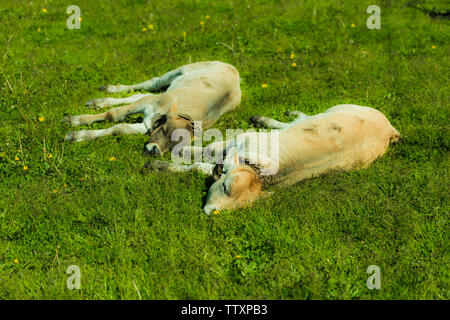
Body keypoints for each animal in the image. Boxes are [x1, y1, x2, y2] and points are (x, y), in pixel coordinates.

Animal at [62, 61, 243, 156]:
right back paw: (107, 91)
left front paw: (78, 136)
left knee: (140, 93)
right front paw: (74, 121)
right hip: (180, 71)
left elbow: (119, 128)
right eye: (163, 130)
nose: (154, 151)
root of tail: (235, 71)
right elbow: (114, 115)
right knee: (150, 83)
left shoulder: (146, 124)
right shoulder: (149, 104)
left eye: (176, 145)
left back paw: (100, 101)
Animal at [146, 105, 400, 215]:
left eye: (239, 206)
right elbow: (207, 150)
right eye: (226, 186)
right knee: (301, 118)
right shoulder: (240, 139)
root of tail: (390, 129)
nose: (212, 213)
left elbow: (199, 166)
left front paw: (160, 165)